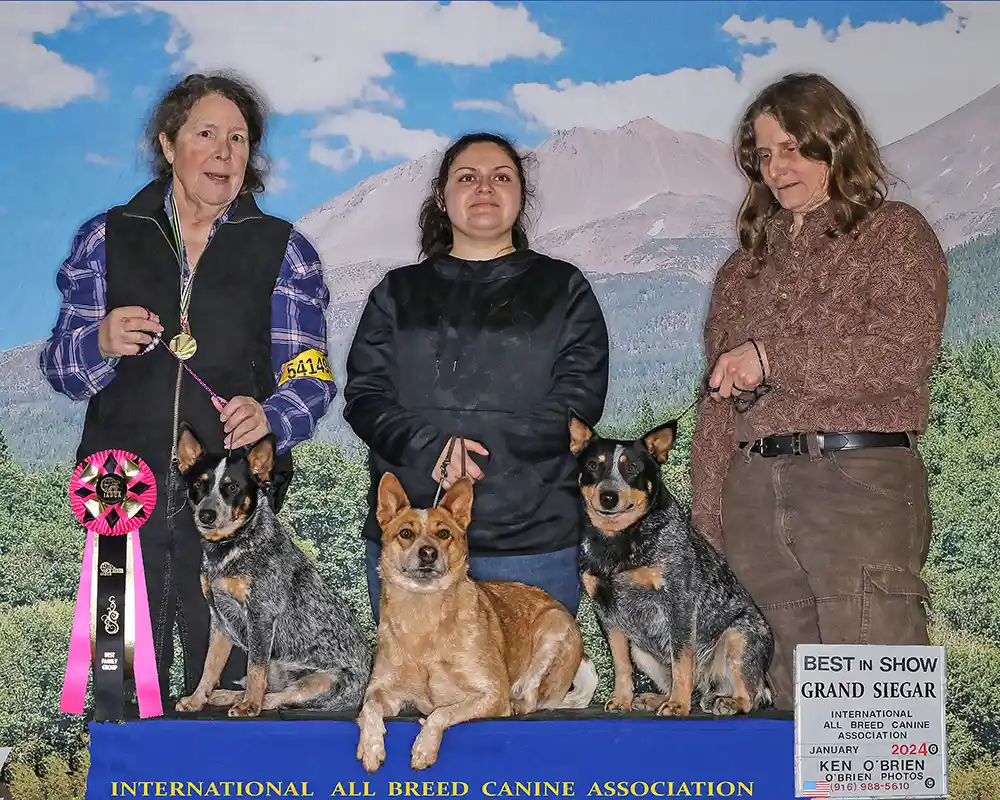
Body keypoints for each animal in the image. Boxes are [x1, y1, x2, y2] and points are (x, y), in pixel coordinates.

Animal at [174, 424, 374, 720]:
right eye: (199, 483)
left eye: (232, 486)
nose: (206, 515)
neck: (232, 546)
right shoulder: (219, 619)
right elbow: (210, 666)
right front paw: (198, 699)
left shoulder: (261, 614)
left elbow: (256, 667)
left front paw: (249, 705)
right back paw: (226, 695)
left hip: (323, 681)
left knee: (282, 697)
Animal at [572, 412, 772, 720]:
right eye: (594, 465)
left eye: (631, 468)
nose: (608, 496)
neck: (619, 541)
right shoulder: (606, 610)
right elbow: (621, 665)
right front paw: (621, 699)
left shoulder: (679, 601)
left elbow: (681, 660)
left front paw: (678, 704)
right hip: (641, 649)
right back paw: (655, 698)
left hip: (739, 636)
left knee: (752, 695)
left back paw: (727, 702)